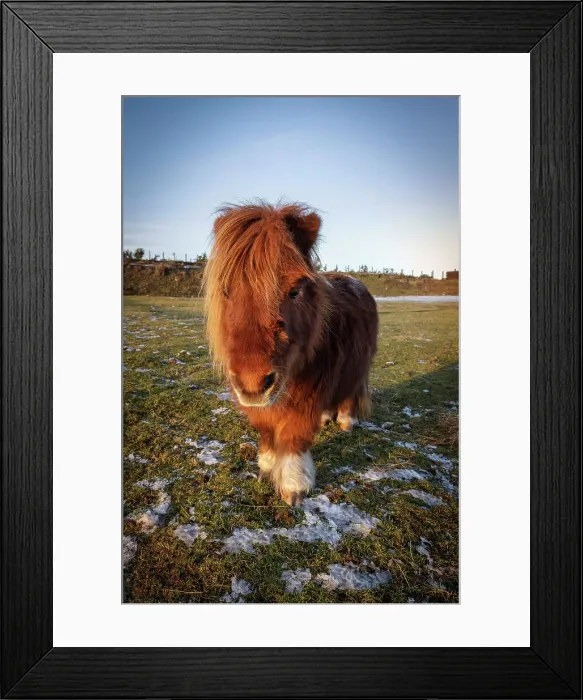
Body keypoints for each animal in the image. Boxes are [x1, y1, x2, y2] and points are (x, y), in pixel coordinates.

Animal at [203, 201, 378, 505]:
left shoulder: (308, 396)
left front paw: (294, 487)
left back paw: (346, 422)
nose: (252, 384)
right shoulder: (260, 405)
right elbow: (266, 432)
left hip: (357, 368)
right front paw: (266, 468)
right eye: (225, 292)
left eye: (295, 292)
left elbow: (294, 437)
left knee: (350, 394)